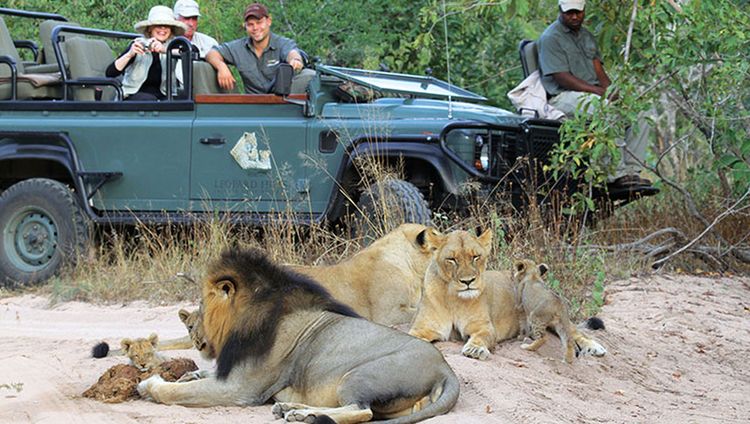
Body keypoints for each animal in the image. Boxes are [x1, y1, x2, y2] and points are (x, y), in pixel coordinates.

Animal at [138, 247, 462, 422]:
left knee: (362, 411)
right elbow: (197, 378)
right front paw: (188, 374)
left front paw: (150, 384)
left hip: (359, 376)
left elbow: (173, 393)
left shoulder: (241, 388)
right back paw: (292, 409)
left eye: (202, 307)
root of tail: (446, 369)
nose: (193, 333)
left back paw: (303, 416)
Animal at [408, 229, 608, 362]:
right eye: (452, 259)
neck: (453, 297)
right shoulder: (421, 329)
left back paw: (595, 347)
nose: (468, 281)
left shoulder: (485, 327)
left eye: (475, 257)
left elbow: (480, 337)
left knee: (576, 332)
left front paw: (475, 350)